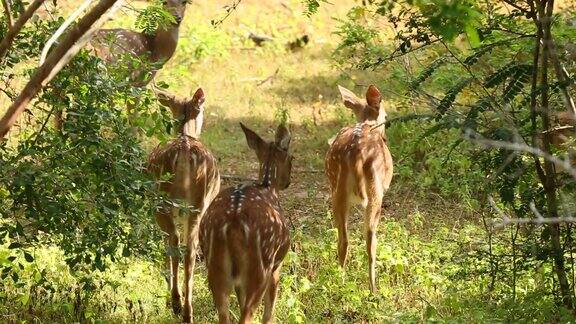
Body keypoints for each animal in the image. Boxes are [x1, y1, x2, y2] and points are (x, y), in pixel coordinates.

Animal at [146, 87, 220, 322]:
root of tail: (185, 152)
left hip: (163, 202)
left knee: (175, 241)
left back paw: (176, 302)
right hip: (197, 204)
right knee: (189, 248)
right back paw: (187, 311)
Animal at [201, 123, 292, 322]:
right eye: (291, 158)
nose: (288, 182)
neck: (268, 187)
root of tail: (234, 221)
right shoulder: (277, 265)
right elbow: (269, 312)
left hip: (215, 268)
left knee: (224, 315)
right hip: (261, 268)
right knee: (247, 315)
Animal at [326, 85, 394, 292]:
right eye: (386, 117)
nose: (385, 138)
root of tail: (354, 155)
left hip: (337, 190)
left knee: (343, 239)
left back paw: (340, 282)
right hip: (375, 191)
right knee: (370, 240)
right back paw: (373, 290)